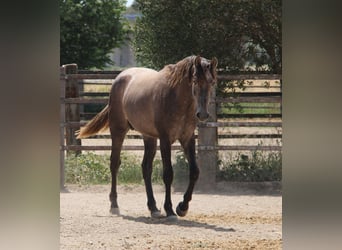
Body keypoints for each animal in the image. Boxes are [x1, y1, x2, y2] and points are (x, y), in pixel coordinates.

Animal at [76, 55, 218, 220]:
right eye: (195, 80)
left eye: (212, 82)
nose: (203, 114)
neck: (176, 99)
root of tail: (120, 77)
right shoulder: (165, 140)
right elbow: (168, 174)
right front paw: (170, 210)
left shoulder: (187, 139)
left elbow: (195, 171)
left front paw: (182, 207)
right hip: (118, 131)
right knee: (114, 164)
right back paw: (114, 205)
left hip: (149, 137)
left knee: (146, 168)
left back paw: (153, 207)